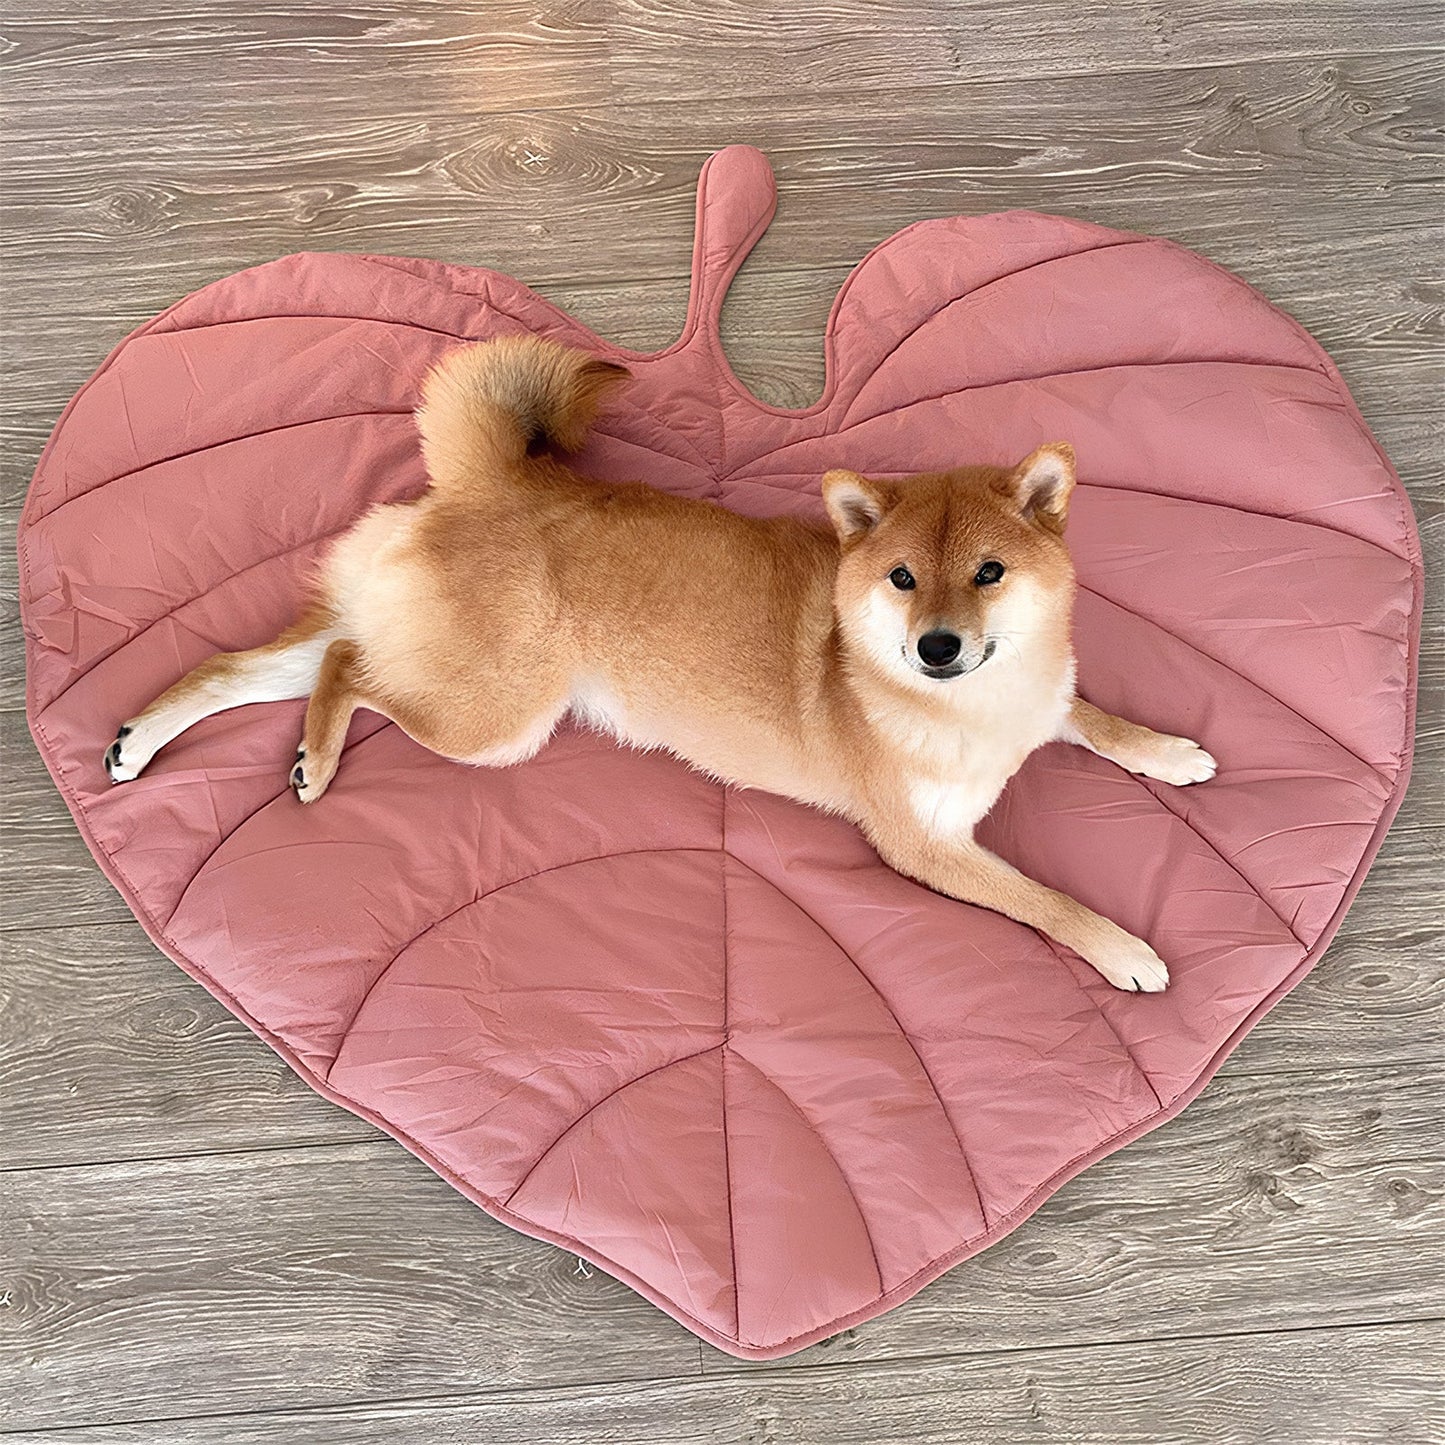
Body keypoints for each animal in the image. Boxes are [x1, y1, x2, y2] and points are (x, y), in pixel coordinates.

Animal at [106, 338, 1213, 994]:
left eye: (988, 573)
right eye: (901, 577)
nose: (936, 645)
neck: (977, 708)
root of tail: (501, 477)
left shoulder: (1044, 696)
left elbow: (1098, 717)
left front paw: (1169, 750)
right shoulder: (924, 848)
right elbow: (1048, 899)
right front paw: (1124, 949)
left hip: (408, 645)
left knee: (238, 665)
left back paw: (142, 742)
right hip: (496, 721)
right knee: (346, 666)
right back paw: (319, 760)